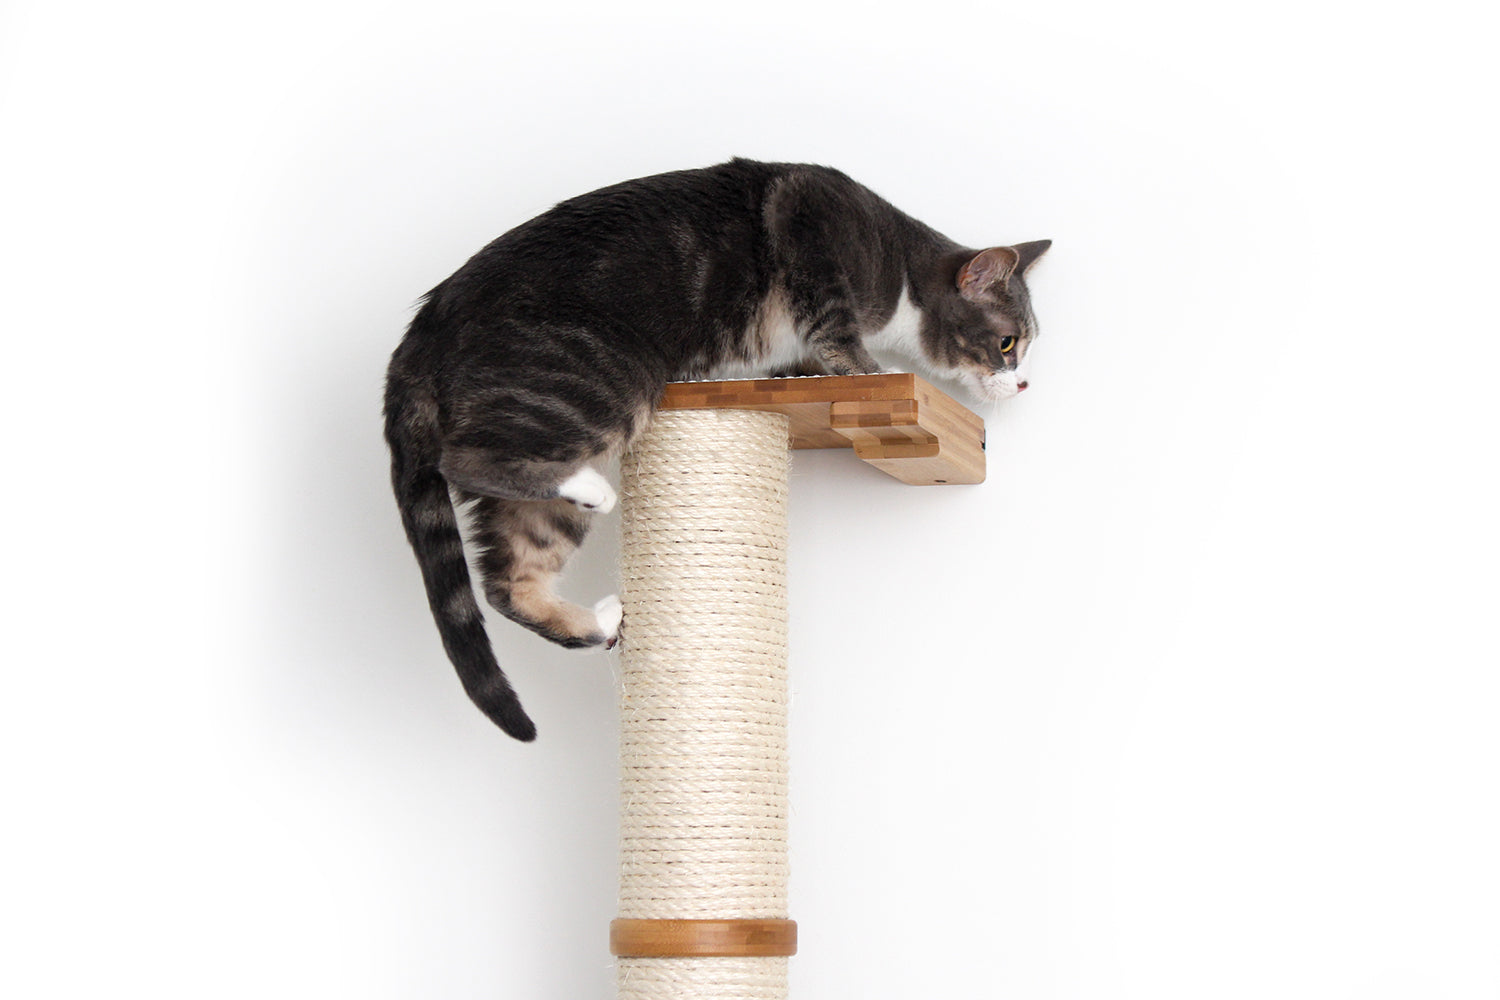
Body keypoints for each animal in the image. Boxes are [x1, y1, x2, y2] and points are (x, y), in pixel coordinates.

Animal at [381, 154, 1050, 734]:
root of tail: (423, 327)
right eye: (1009, 342)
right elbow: (838, 331)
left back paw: (598, 620)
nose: (1023, 383)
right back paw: (593, 491)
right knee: (467, 459)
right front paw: (869, 368)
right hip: (597, 378)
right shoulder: (812, 226)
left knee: (509, 581)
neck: (902, 278)